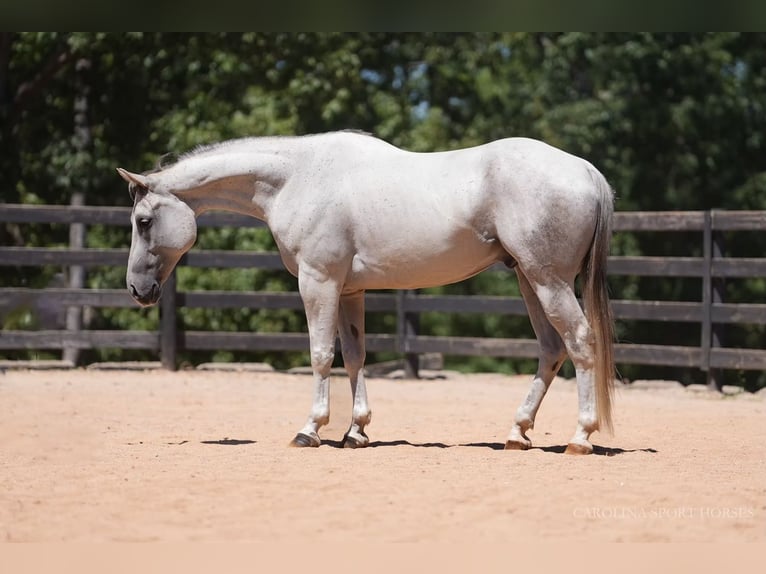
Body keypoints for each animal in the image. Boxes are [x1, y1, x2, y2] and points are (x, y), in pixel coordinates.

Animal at [117, 131, 616, 454]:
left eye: (144, 221)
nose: (138, 290)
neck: (298, 178)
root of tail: (586, 171)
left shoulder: (317, 282)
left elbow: (321, 355)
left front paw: (311, 430)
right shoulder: (349, 291)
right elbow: (354, 357)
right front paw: (355, 432)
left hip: (548, 281)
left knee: (580, 343)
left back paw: (580, 437)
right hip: (529, 280)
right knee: (551, 350)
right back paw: (517, 432)